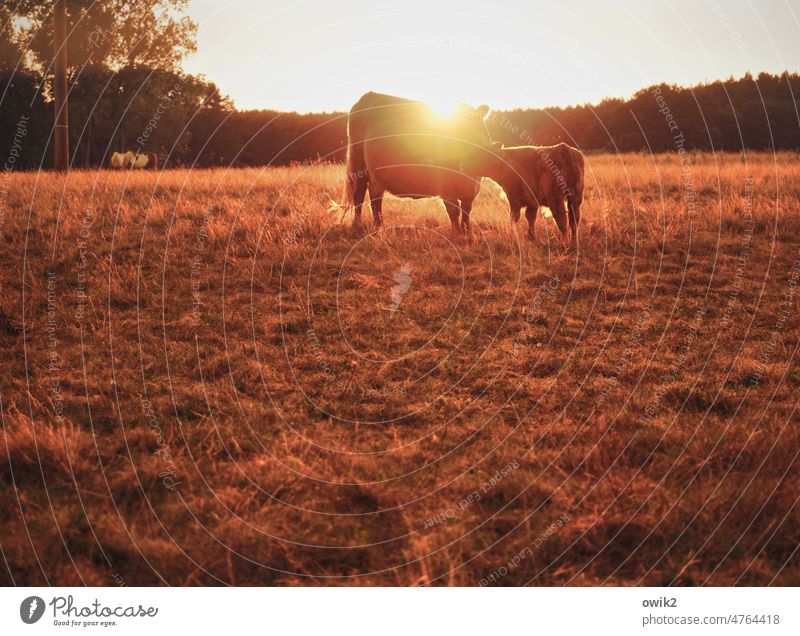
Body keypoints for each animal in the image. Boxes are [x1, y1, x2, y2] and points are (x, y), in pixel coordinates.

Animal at [344, 92, 494, 234]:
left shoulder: (473, 187)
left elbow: (467, 211)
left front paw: (467, 232)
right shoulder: (445, 187)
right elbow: (453, 211)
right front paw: (457, 233)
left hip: (376, 174)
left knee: (375, 197)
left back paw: (379, 225)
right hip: (358, 163)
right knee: (359, 194)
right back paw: (357, 225)